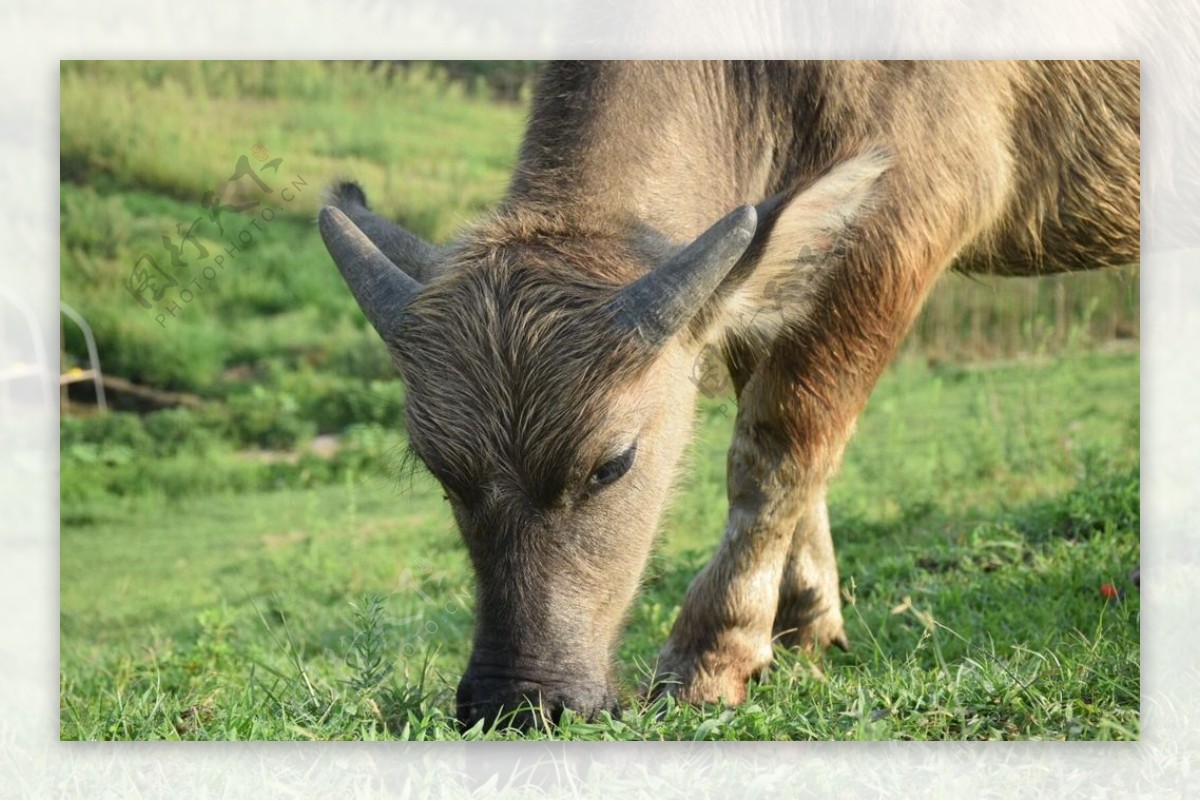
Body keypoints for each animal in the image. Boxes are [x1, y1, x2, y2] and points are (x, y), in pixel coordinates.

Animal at [316, 59, 1132, 729]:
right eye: (439, 471)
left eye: (612, 463)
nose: (516, 700)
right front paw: (803, 622)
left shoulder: (904, 223)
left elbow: (779, 443)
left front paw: (714, 655)